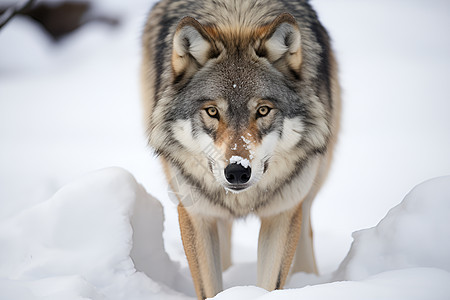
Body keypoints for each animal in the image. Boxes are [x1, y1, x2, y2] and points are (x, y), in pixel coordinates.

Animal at [141, 1, 342, 298]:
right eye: (212, 111)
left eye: (263, 110)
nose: (237, 171)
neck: (238, 18)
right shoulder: (196, 213)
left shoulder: (281, 213)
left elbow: (271, 282)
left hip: (311, 178)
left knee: (306, 223)